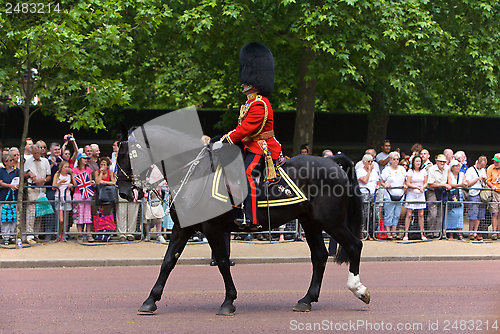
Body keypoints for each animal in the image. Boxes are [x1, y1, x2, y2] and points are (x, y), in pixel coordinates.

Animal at [116, 124, 368, 314]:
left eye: (125, 154)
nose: (124, 192)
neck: (194, 174)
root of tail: (333, 162)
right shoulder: (182, 228)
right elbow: (168, 262)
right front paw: (150, 300)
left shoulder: (212, 228)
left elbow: (222, 261)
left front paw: (228, 301)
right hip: (310, 222)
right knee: (319, 256)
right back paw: (307, 300)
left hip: (330, 222)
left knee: (354, 245)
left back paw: (358, 289)